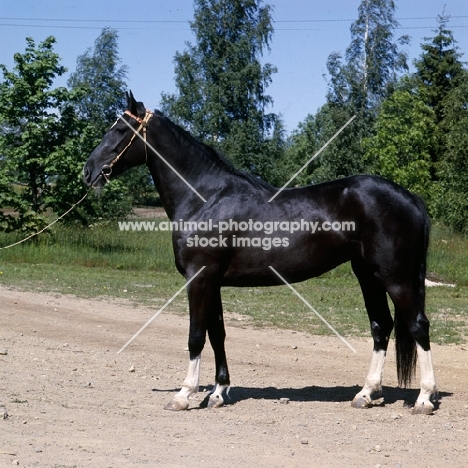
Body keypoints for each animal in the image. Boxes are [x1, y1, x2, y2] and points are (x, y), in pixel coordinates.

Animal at [82, 91, 436, 414]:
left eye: (120, 129)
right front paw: (218, 393)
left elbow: (196, 336)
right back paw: (366, 393)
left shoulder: (199, 278)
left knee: (418, 325)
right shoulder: (212, 281)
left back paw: (424, 398)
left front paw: (183, 395)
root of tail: (411, 198)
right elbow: (218, 334)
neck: (205, 198)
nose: (88, 171)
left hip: (396, 277)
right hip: (367, 275)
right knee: (381, 326)